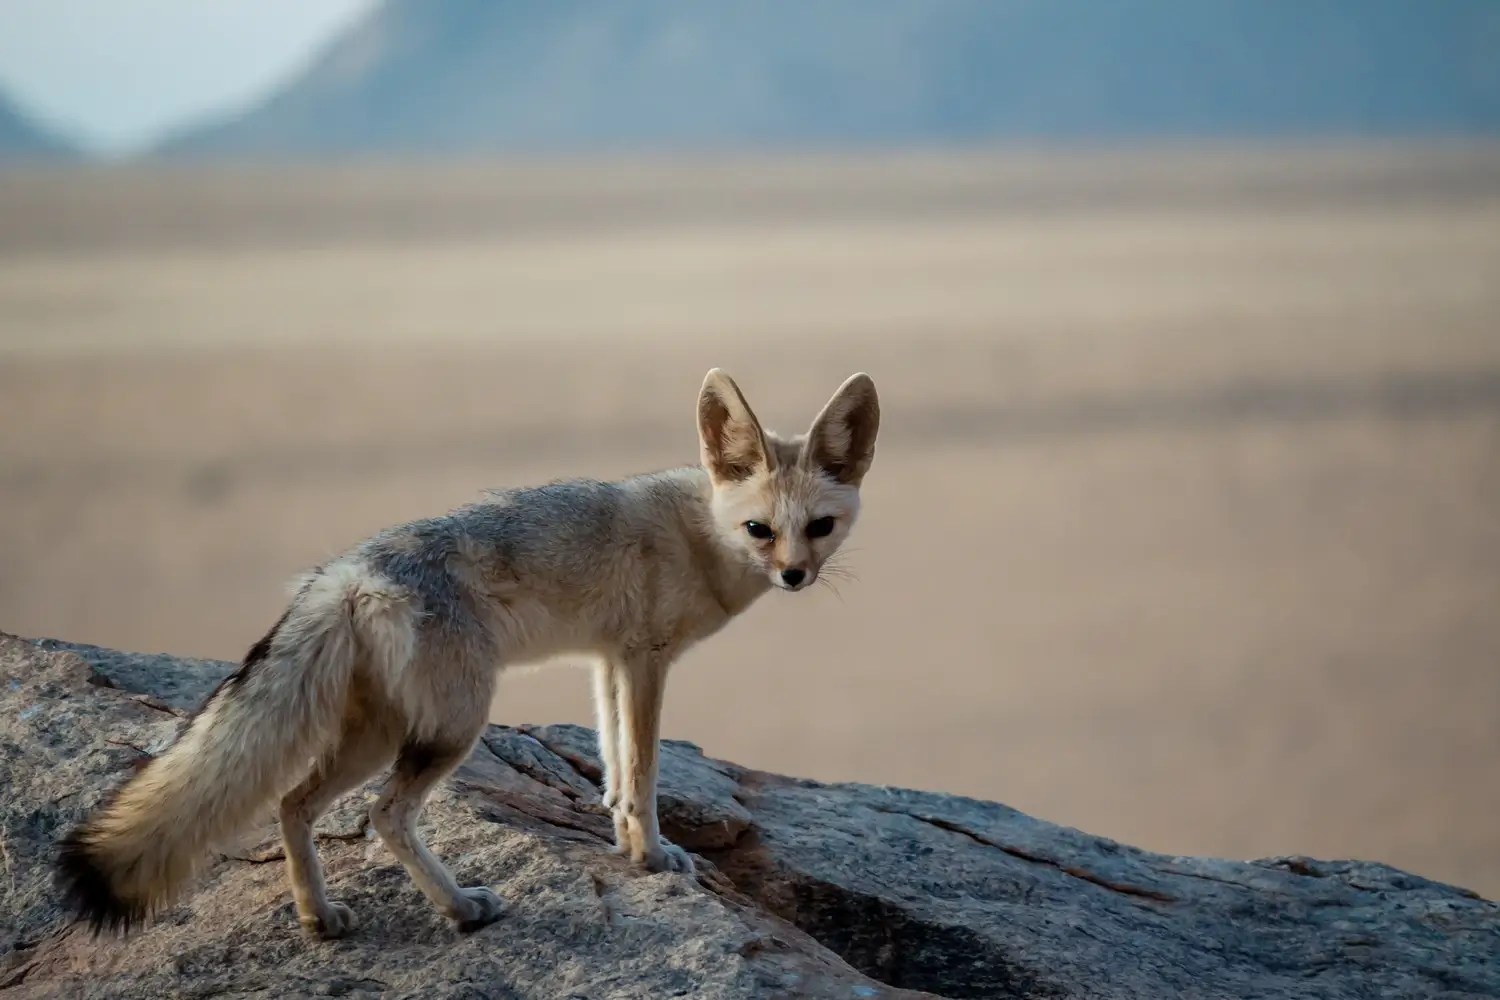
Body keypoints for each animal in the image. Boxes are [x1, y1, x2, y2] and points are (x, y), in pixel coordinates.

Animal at [55, 365, 876, 941]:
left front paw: (619, 832)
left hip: (379, 731)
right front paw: (651, 855)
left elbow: (614, 764)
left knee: (292, 802)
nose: (795, 576)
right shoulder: (646, 658)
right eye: (760, 530)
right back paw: (459, 908)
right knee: (385, 816)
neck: (701, 534)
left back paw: (320, 919)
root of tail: (348, 571)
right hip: (453, 724)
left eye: (821, 527)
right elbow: (643, 771)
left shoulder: (610, 659)